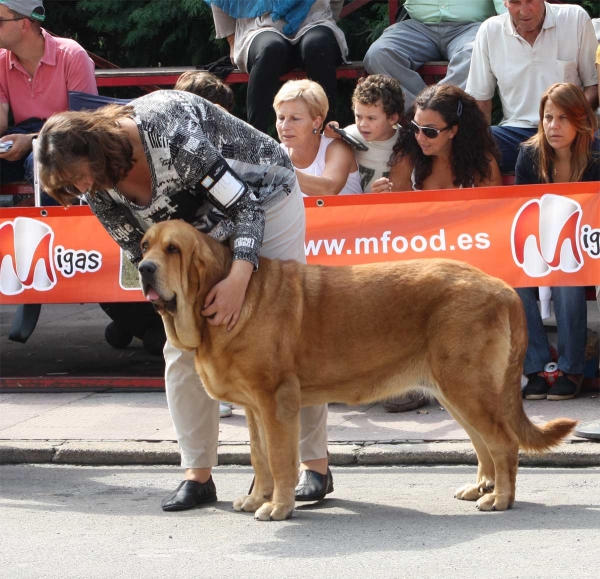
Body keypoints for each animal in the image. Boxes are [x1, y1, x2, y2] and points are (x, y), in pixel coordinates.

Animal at [139, 220, 576, 524]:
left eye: (173, 249)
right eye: (144, 245)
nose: (143, 268)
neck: (228, 292)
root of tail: (503, 288)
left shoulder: (276, 404)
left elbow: (280, 460)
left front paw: (278, 507)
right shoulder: (253, 409)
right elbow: (259, 458)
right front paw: (256, 498)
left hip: (467, 388)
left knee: (503, 443)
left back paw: (500, 498)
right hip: (457, 391)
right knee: (484, 445)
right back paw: (480, 487)